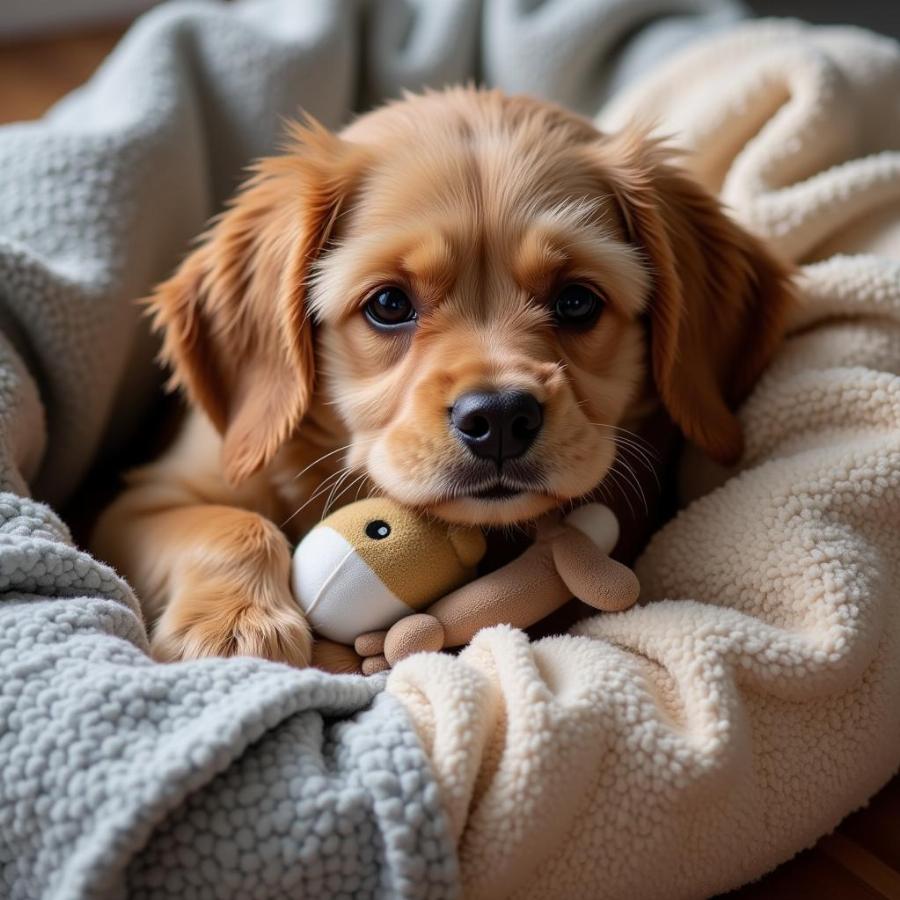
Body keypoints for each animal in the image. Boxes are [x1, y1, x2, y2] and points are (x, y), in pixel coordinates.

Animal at [91, 88, 792, 668]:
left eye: (576, 301)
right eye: (388, 304)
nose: (501, 417)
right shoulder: (140, 502)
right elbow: (233, 524)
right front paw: (236, 628)